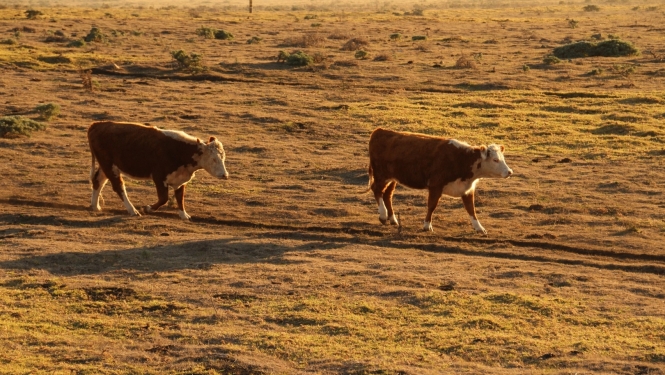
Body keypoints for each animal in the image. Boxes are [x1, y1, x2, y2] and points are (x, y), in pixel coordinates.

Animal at [88, 120, 228, 220]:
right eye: (214, 159)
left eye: (223, 157)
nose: (225, 175)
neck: (181, 150)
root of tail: (97, 125)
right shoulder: (159, 177)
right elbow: (163, 198)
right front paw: (147, 208)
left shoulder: (180, 179)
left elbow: (180, 198)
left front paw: (184, 215)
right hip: (109, 166)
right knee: (119, 186)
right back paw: (133, 210)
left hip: (106, 166)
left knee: (98, 181)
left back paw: (95, 206)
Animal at [366, 129, 510, 235]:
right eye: (495, 160)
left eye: (502, 158)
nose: (509, 172)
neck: (462, 159)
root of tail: (380, 131)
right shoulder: (435, 186)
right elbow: (431, 206)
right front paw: (427, 225)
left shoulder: (467, 189)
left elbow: (471, 209)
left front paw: (479, 228)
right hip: (381, 175)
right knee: (376, 189)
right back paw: (383, 215)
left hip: (392, 178)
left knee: (387, 195)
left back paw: (392, 219)